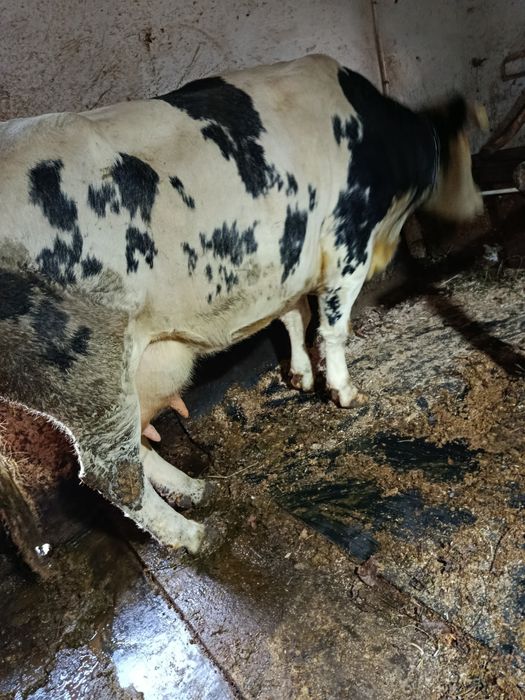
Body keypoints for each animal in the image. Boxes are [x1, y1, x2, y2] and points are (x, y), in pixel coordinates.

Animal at [0, 54, 486, 554]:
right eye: (464, 155)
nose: (479, 208)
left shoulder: (287, 262)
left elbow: (293, 317)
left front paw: (300, 375)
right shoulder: (348, 241)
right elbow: (331, 327)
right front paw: (342, 390)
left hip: (142, 368)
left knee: (137, 448)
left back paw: (196, 489)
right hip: (86, 376)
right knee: (113, 474)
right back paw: (194, 534)